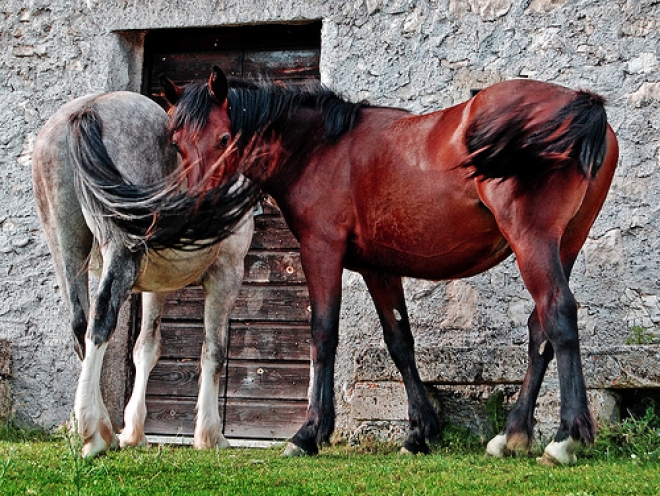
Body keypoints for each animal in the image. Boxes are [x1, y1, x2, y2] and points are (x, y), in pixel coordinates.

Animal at [32, 90, 255, 458]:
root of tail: (88, 109)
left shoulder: (156, 288)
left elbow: (146, 349)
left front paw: (134, 432)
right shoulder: (226, 274)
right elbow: (214, 352)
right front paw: (211, 436)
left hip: (64, 246)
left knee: (80, 325)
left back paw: (104, 429)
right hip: (122, 252)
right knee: (101, 318)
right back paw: (93, 434)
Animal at [151, 67, 620, 464]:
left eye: (224, 138)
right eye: (176, 143)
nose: (195, 212)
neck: (321, 147)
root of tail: (581, 103)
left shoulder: (321, 250)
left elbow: (323, 334)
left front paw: (310, 433)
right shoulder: (379, 269)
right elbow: (400, 343)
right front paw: (419, 433)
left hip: (532, 241)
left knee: (558, 314)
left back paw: (565, 438)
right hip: (565, 244)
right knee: (540, 329)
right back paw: (512, 435)